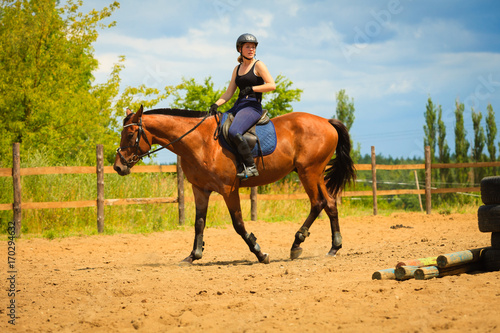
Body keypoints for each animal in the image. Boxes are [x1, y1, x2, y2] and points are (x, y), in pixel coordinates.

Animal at [113, 105, 356, 264]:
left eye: (131, 134)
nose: (118, 166)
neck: (200, 143)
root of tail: (326, 121)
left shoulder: (228, 190)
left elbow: (238, 224)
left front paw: (260, 253)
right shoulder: (199, 189)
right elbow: (199, 223)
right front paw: (193, 255)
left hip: (309, 172)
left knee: (317, 203)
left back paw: (297, 244)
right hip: (315, 173)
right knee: (329, 203)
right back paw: (334, 247)